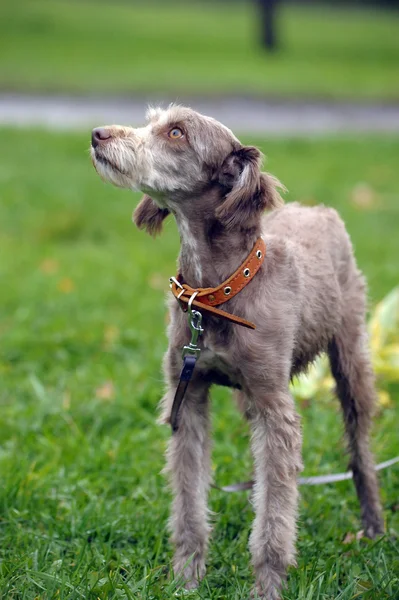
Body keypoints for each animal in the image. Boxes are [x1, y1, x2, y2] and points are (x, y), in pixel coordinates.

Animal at [90, 108, 384, 600]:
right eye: (152, 120)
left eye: (176, 132)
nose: (98, 134)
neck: (218, 293)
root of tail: (319, 209)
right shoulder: (187, 398)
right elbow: (189, 506)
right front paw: (186, 580)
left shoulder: (276, 410)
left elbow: (275, 518)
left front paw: (267, 587)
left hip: (351, 360)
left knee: (360, 451)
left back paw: (375, 527)